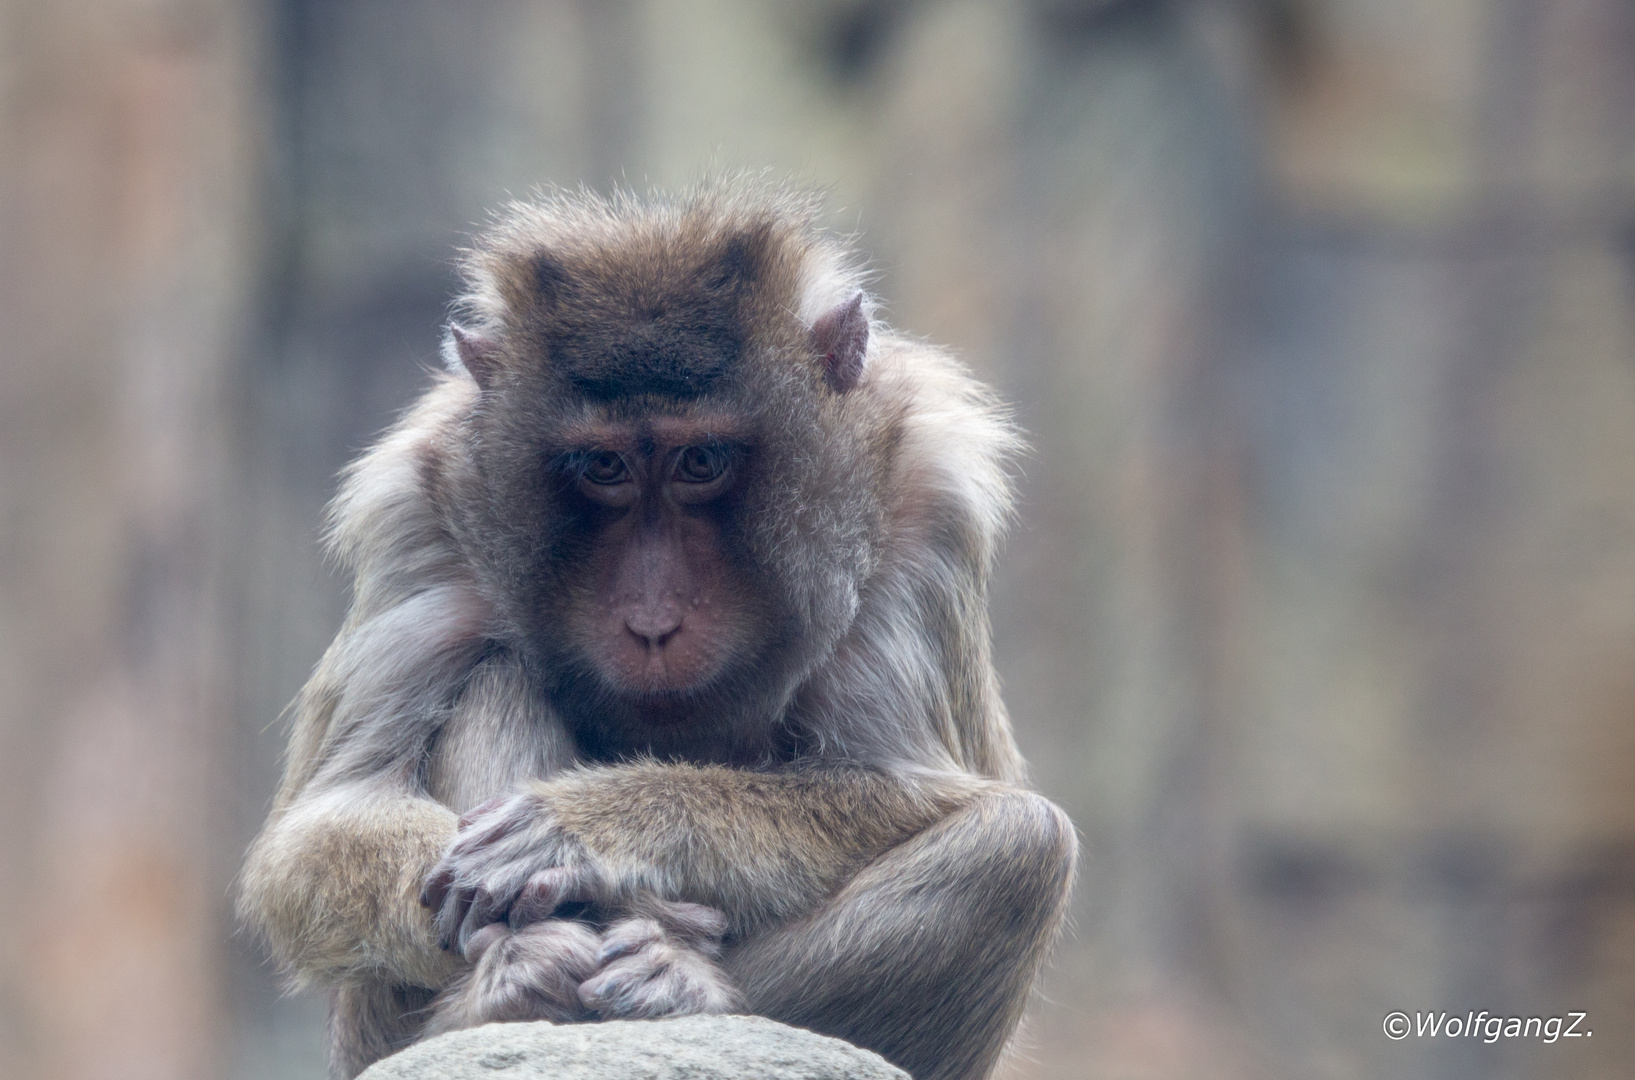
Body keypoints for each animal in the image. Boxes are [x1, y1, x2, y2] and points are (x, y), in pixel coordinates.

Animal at [238, 181, 1072, 1071]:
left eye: (699, 462)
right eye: (603, 467)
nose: (650, 619)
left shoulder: (925, 501)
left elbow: (900, 787)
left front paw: (590, 828)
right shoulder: (418, 512)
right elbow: (325, 823)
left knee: (1022, 846)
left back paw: (679, 985)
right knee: (498, 677)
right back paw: (512, 987)